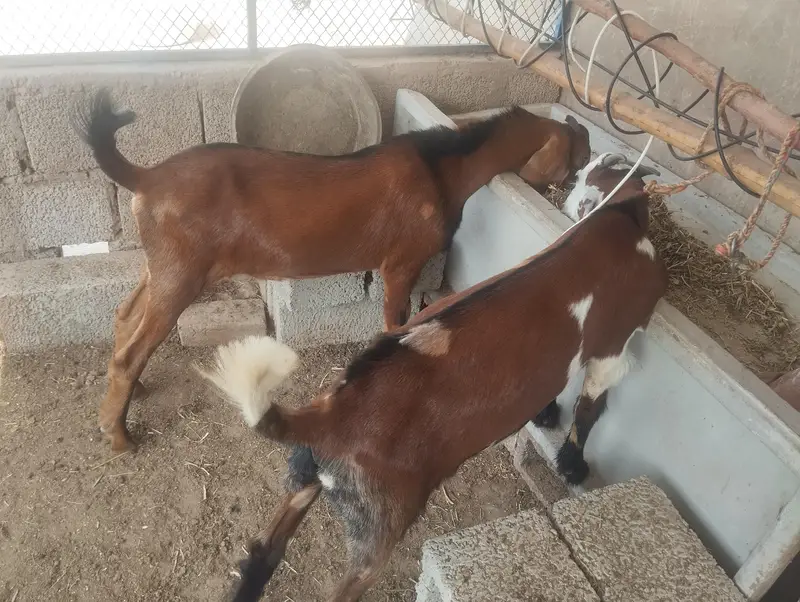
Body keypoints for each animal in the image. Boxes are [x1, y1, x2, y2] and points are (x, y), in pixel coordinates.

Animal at [72, 89, 591, 453]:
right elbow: (395, 323)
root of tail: (147, 177)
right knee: (132, 350)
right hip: (182, 274)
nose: (578, 180)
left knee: (124, 318)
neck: (441, 169)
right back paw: (119, 436)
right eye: (576, 149)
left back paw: (130, 395)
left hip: (162, 265)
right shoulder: (402, 263)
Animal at [199, 152, 666, 602]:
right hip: (379, 521)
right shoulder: (613, 346)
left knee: (262, 554)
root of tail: (328, 416)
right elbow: (590, 406)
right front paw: (573, 467)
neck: (618, 218)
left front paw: (546, 416)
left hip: (303, 478)